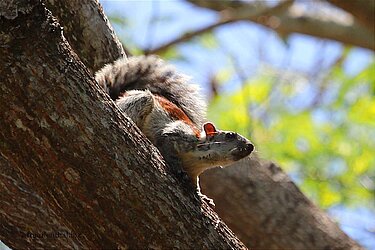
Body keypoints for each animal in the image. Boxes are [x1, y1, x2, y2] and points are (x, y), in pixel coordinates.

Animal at [94, 55, 256, 193]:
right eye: (230, 135)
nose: (251, 146)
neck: (199, 161)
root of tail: (118, 98)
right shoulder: (180, 135)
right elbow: (167, 143)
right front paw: (178, 169)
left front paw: (201, 195)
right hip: (142, 100)